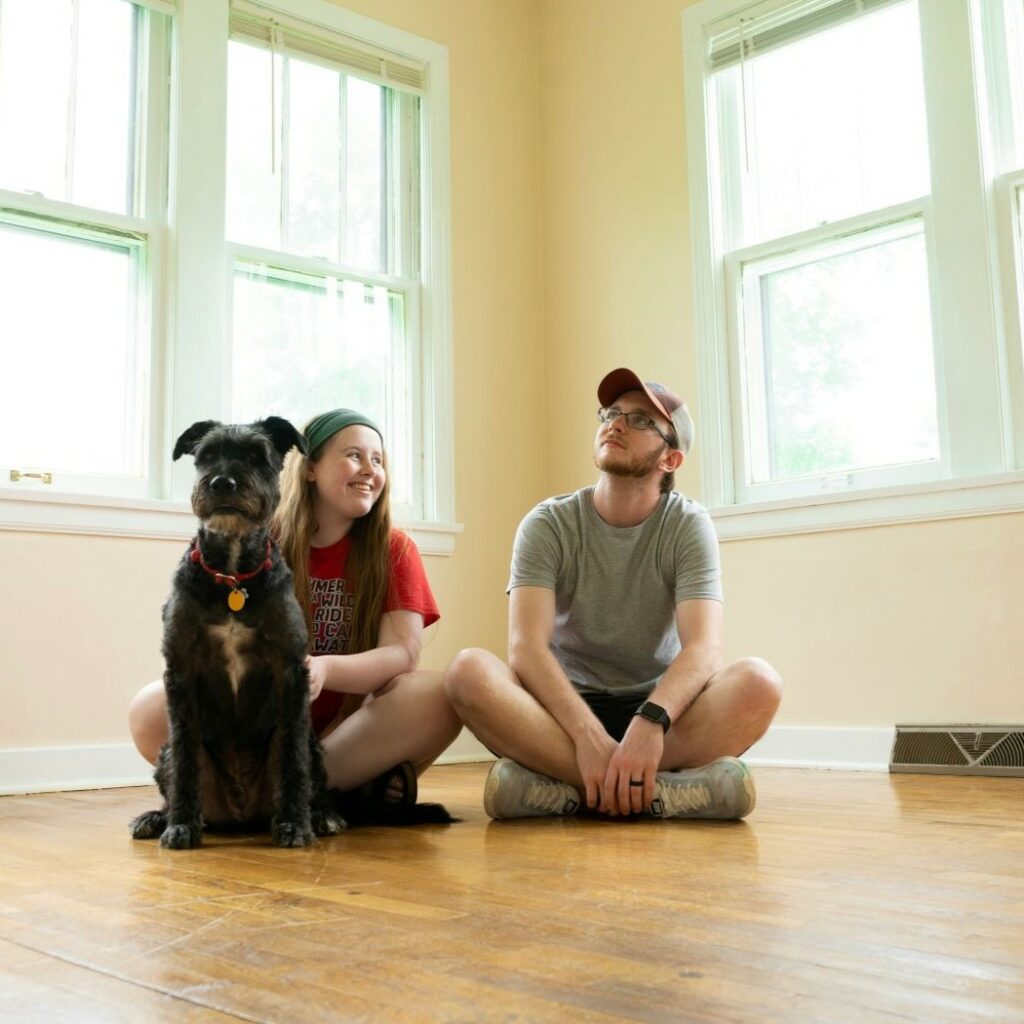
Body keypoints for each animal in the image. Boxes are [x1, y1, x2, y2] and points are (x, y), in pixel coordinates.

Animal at [126, 415, 344, 847]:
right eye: (207, 455)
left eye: (256, 455)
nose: (222, 483)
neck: (232, 578)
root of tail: (241, 813)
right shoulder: (180, 672)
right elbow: (186, 759)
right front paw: (181, 824)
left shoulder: (291, 670)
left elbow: (292, 759)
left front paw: (294, 824)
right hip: (165, 754)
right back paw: (158, 817)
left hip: (313, 748)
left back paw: (321, 815)